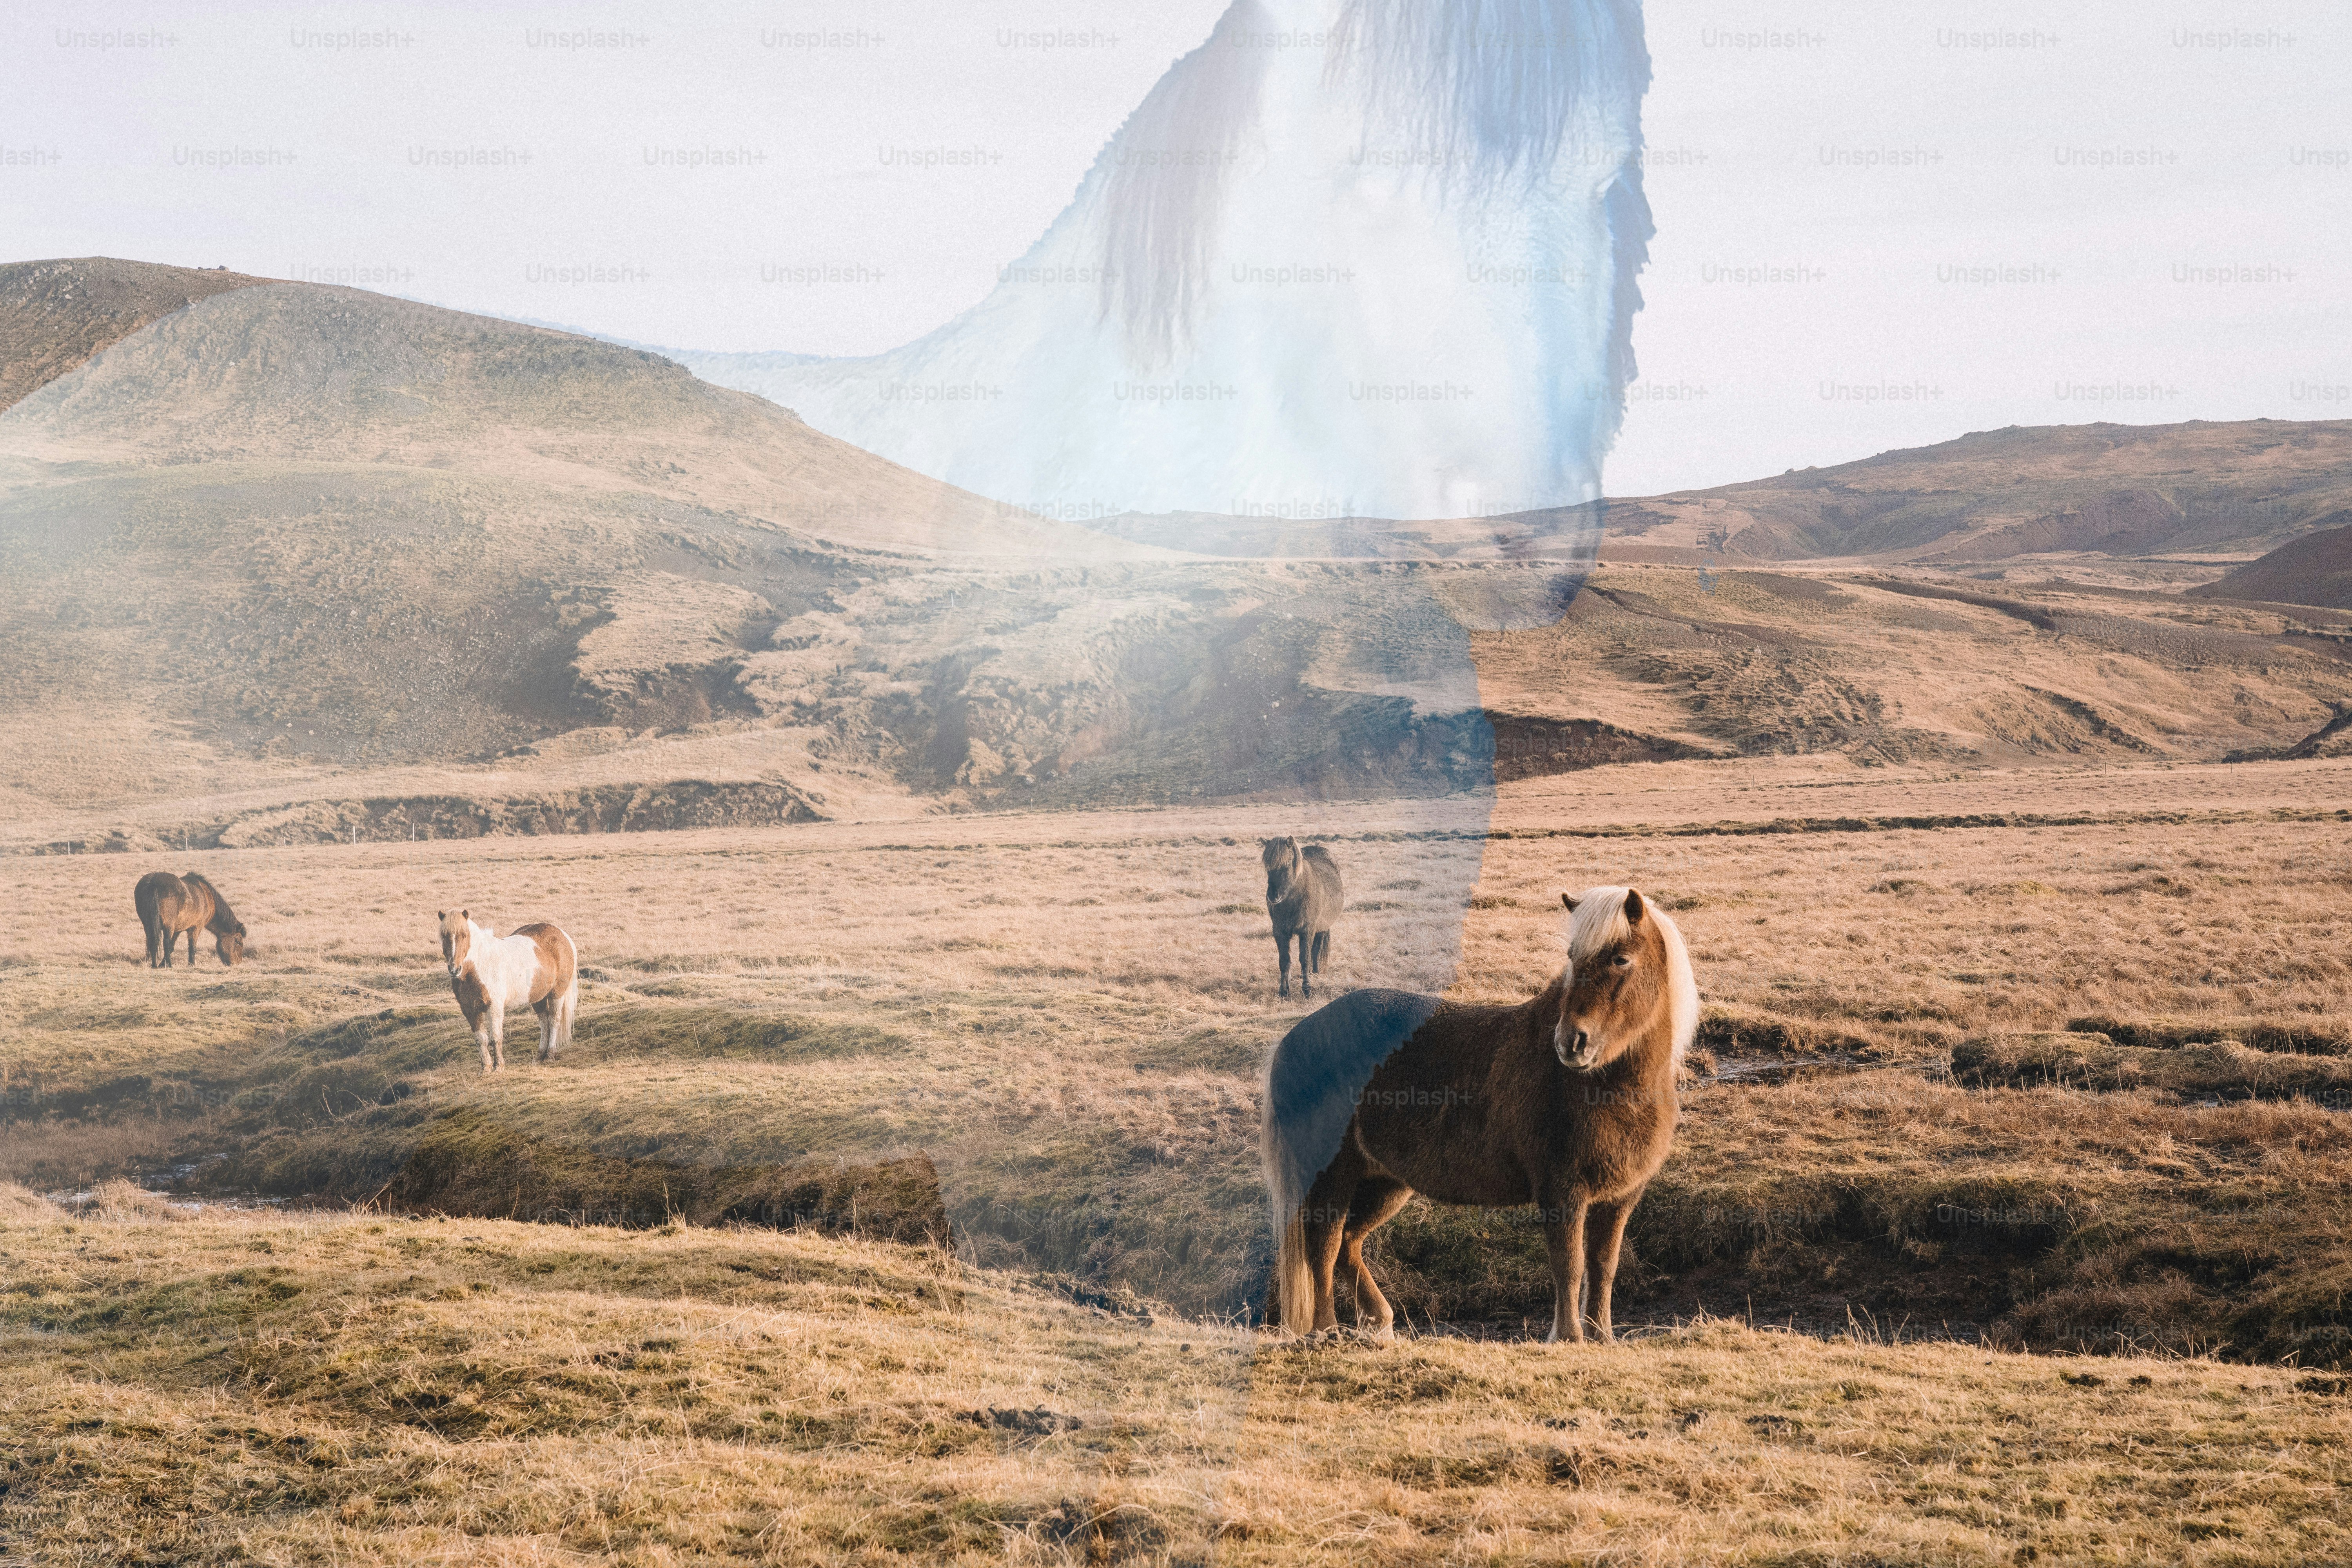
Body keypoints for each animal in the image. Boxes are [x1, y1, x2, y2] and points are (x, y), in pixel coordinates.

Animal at [134, 871, 247, 968]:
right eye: (238, 941)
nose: (237, 963)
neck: (207, 895)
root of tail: (152, 882)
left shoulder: (177, 930)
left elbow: (172, 947)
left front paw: (163, 964)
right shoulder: (196, 928)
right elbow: (192, 947)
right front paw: (191, 964)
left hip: (148, 926)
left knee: (153, 942)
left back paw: (154, 965)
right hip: (168, 926)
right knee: (165, 942)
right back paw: (170, 965)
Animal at [436, 909, 579, 1073]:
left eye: (464, 935)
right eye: (444, 936)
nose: (455, 969)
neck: (479, 967)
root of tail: (562, 934)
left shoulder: (495, 1007)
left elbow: (496, 1038)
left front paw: (499, 1067)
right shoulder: (469, 1010)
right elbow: (481, 1039)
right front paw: (486, 1069)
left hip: (557, 993)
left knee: (554, 1021)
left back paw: (550, 1055)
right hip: (539, 998)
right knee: (545, 1023)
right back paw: (539, 1057)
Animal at [1261, 885, 1697, 1343]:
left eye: (1621, 959)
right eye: (1573, 958)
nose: (1570, 1043)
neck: (1608, 1087)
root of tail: (1294, 1038)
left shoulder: (1620, 1198)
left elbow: (1603, 1265)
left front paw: (1601, 1336)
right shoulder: (1562, 1192)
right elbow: (1570, 1265)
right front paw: (1568, 1337)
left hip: (1385, 1183)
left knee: (1348, 1242)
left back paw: (1378, 1319)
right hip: (1333, 1178)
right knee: (1324, 1246)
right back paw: (1326, 1331)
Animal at [1263, 837, 1343, 999]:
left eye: (1287, 863)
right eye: (1268, 866)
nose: (1273, 895)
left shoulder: (1307, 930)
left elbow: (1305, 958)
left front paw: (1307, 989)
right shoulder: (1280, 932)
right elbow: (1284, 961)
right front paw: (1284, 991)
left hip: (1321, 928)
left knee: (1316, 950)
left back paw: (1316, 972)